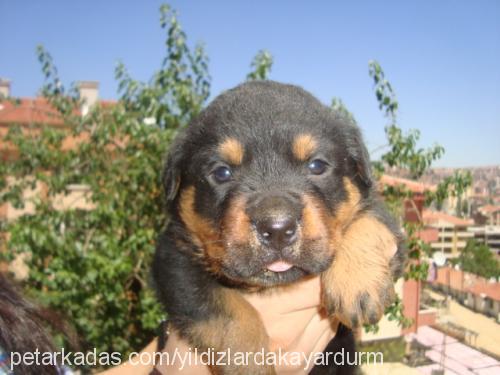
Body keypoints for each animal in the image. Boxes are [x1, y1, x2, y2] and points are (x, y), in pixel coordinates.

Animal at [152, 81, 406, 374]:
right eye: (221, 172)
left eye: (317, 165)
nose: (277, 228)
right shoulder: (174, 259)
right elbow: (229, 312)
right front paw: (249, 364)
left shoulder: (389, 230)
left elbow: (370, 219)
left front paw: (356, 281)